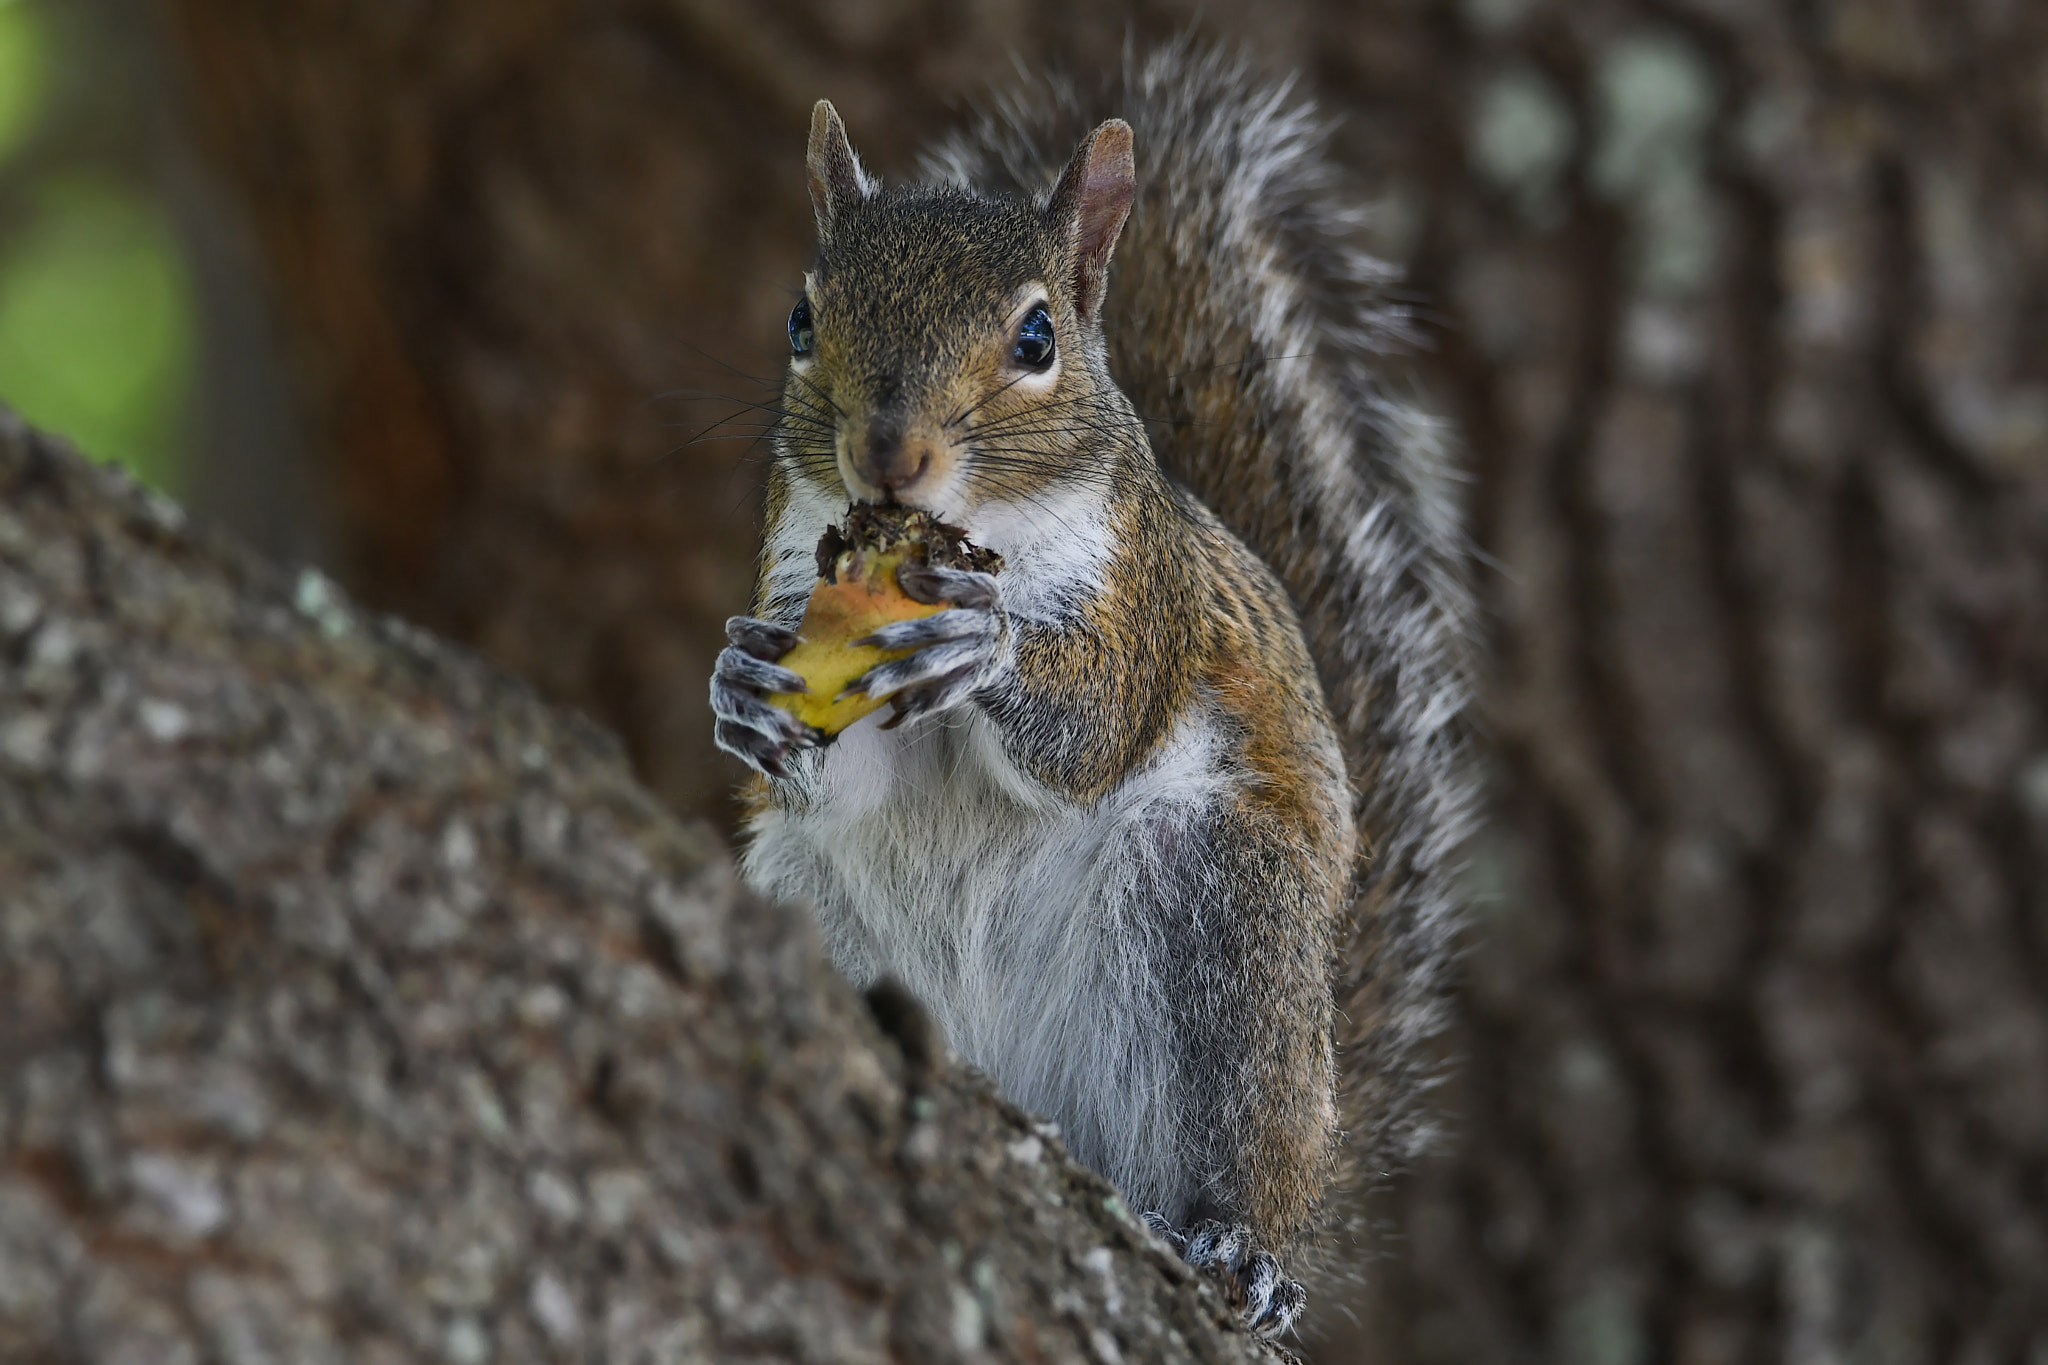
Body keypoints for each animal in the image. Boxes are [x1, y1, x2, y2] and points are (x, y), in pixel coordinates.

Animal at [712, 40, 1466, 1334]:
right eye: (803, 318)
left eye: (1034, 340)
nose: (887, 454)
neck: (967, 533)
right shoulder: (794, 564)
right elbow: (839, 773)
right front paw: (740, 689)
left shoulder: (1146, 595)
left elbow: (1095, 732)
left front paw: (987, 644)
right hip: (814, 903)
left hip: (1217, 913)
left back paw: (1242, 1249)